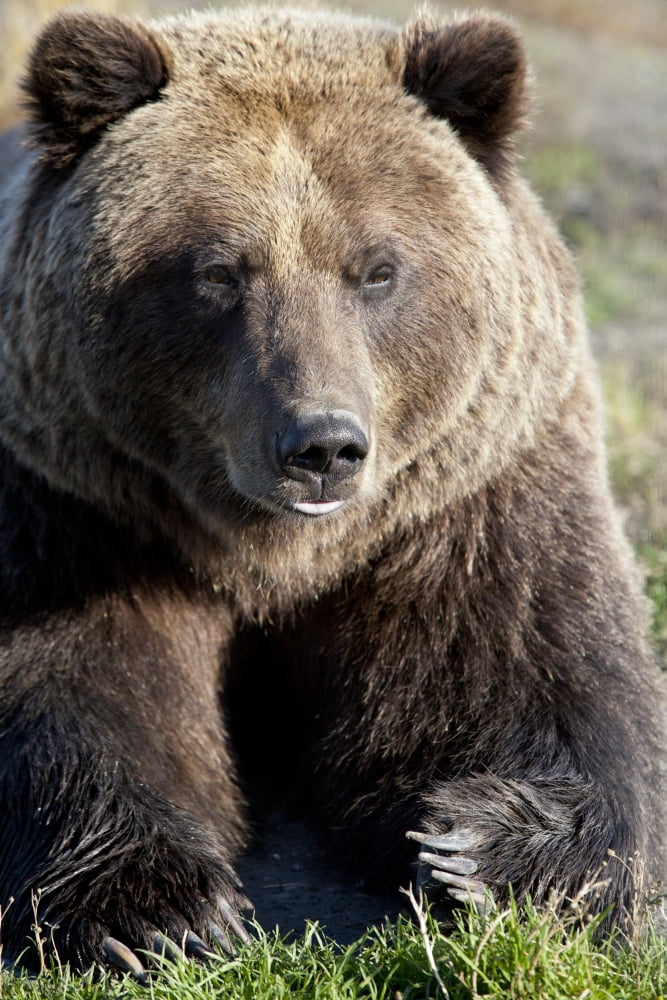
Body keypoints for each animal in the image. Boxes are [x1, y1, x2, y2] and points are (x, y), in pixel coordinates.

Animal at [0, 3, 664, 977]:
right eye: (219, 271)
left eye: (378, 269)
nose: (322, 445)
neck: (275, 551)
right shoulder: (78, 505)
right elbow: (70, 685)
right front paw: (158, 909)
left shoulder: (469, 501)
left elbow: (547, 678)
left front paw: (479, 850)